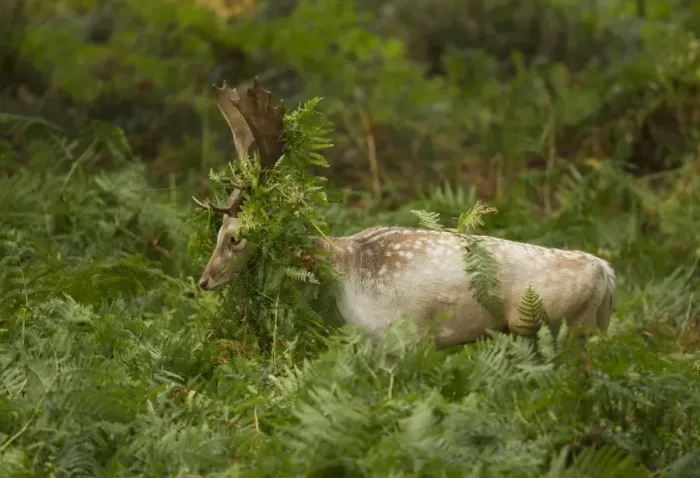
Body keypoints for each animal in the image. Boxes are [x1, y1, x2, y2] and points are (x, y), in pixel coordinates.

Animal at [193, 77, 616, 348]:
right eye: (217, 232)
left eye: (235, 237)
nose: (204, 281)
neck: (347, 269)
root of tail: (608, 275)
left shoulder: (403, 336)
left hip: (554, 327)